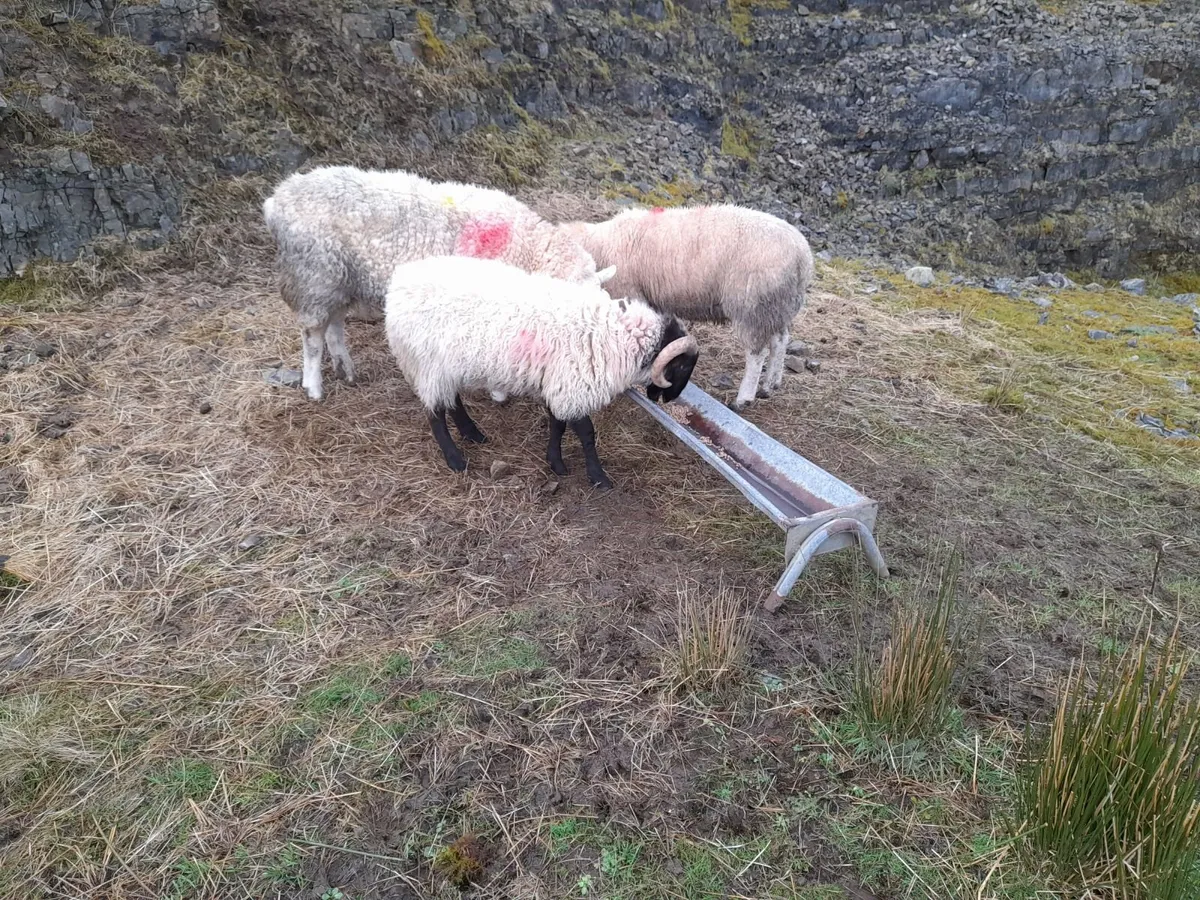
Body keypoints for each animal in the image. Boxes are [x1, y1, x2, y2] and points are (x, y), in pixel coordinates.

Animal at [261, 165, 616, 401]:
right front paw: (498, 392)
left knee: (334, 326)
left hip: (340, 280)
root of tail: (277, 199)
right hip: (313, 277)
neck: (527, 249)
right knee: (312, 336)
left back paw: (345, 369)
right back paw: (313, 386)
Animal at [383, 255, 699, 489]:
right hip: (427, 363)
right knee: (435, 413)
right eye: (684, 365)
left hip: (447, 367)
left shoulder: (559, 383)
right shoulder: (573, 385)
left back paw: (472, 433)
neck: (614, 334)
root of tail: (399, 283)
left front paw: (555, 463)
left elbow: (557, 424)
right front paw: (598, 477)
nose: (669, 400)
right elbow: (586, 433)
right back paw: (455, 459)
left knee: (453, 401)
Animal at [559, 204, 814, 411]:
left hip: (752, 307)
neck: (599, 246)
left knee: (756, 353)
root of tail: (803, 257)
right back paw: (771, 384)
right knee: (780, 340)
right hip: (777, 307)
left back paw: (744, 398)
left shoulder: (631, 293)